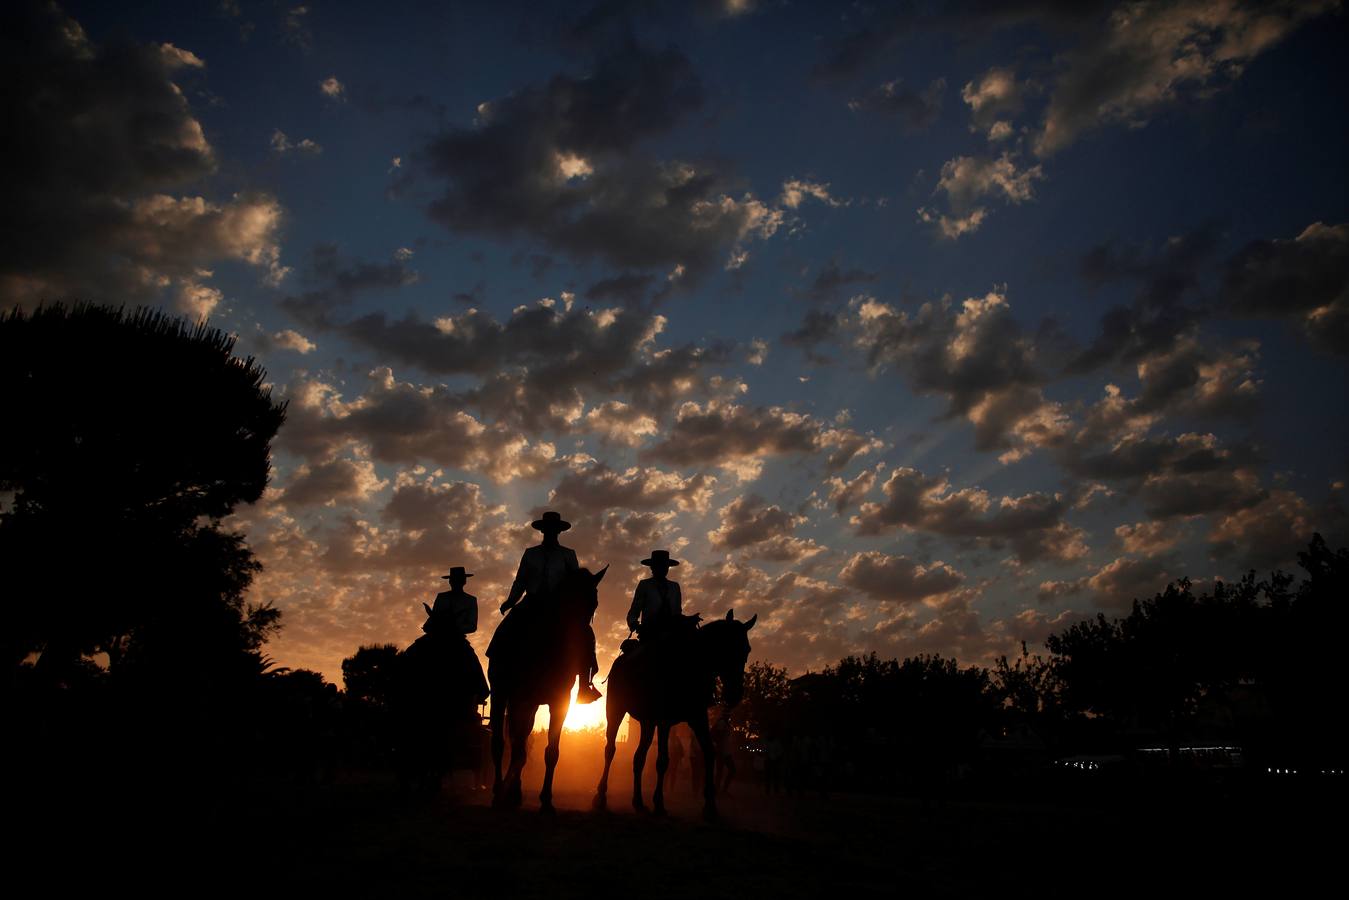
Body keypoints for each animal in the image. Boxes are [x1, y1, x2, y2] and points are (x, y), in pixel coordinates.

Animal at [491, 566, 607, 814]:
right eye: (568, 600)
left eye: (594, 603)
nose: (581, 640)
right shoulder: (519, 700)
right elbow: (517, 748)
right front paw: (509, 794)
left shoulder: (559, 703)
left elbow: (551, 752)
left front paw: (546, 800)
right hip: (502, 695)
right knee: (501, 743)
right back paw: (499, 792)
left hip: (531, 705)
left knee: (519, 742)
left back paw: (512, 792)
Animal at [596, 609, 755, 820]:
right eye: (724, 647)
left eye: (746, 650)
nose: (734, 693)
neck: (689, 668)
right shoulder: (664, 721)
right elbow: (663, 760)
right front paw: (659, 803)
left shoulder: (698, 718)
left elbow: (709, 753)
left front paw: (710, 806)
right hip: (616, 710)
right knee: (610, 749)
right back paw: (601, 796)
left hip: (647, 722)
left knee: (639, 757)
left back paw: (638, 802)